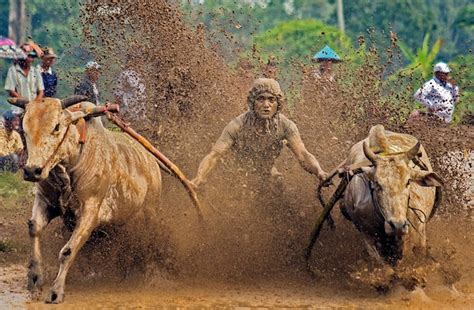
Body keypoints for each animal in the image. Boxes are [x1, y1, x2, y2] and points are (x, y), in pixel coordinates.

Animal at [9, 97, 164, 302]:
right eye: (24, 128)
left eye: (56, 126)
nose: (32, 171)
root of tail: (151, 160)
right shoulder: (45, 201)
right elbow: (34, 228)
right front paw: (35, 280)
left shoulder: (90, 211)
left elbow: (67, 251)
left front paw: (56, 291)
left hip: (151, 212)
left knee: (151, 241)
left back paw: (150, 274)